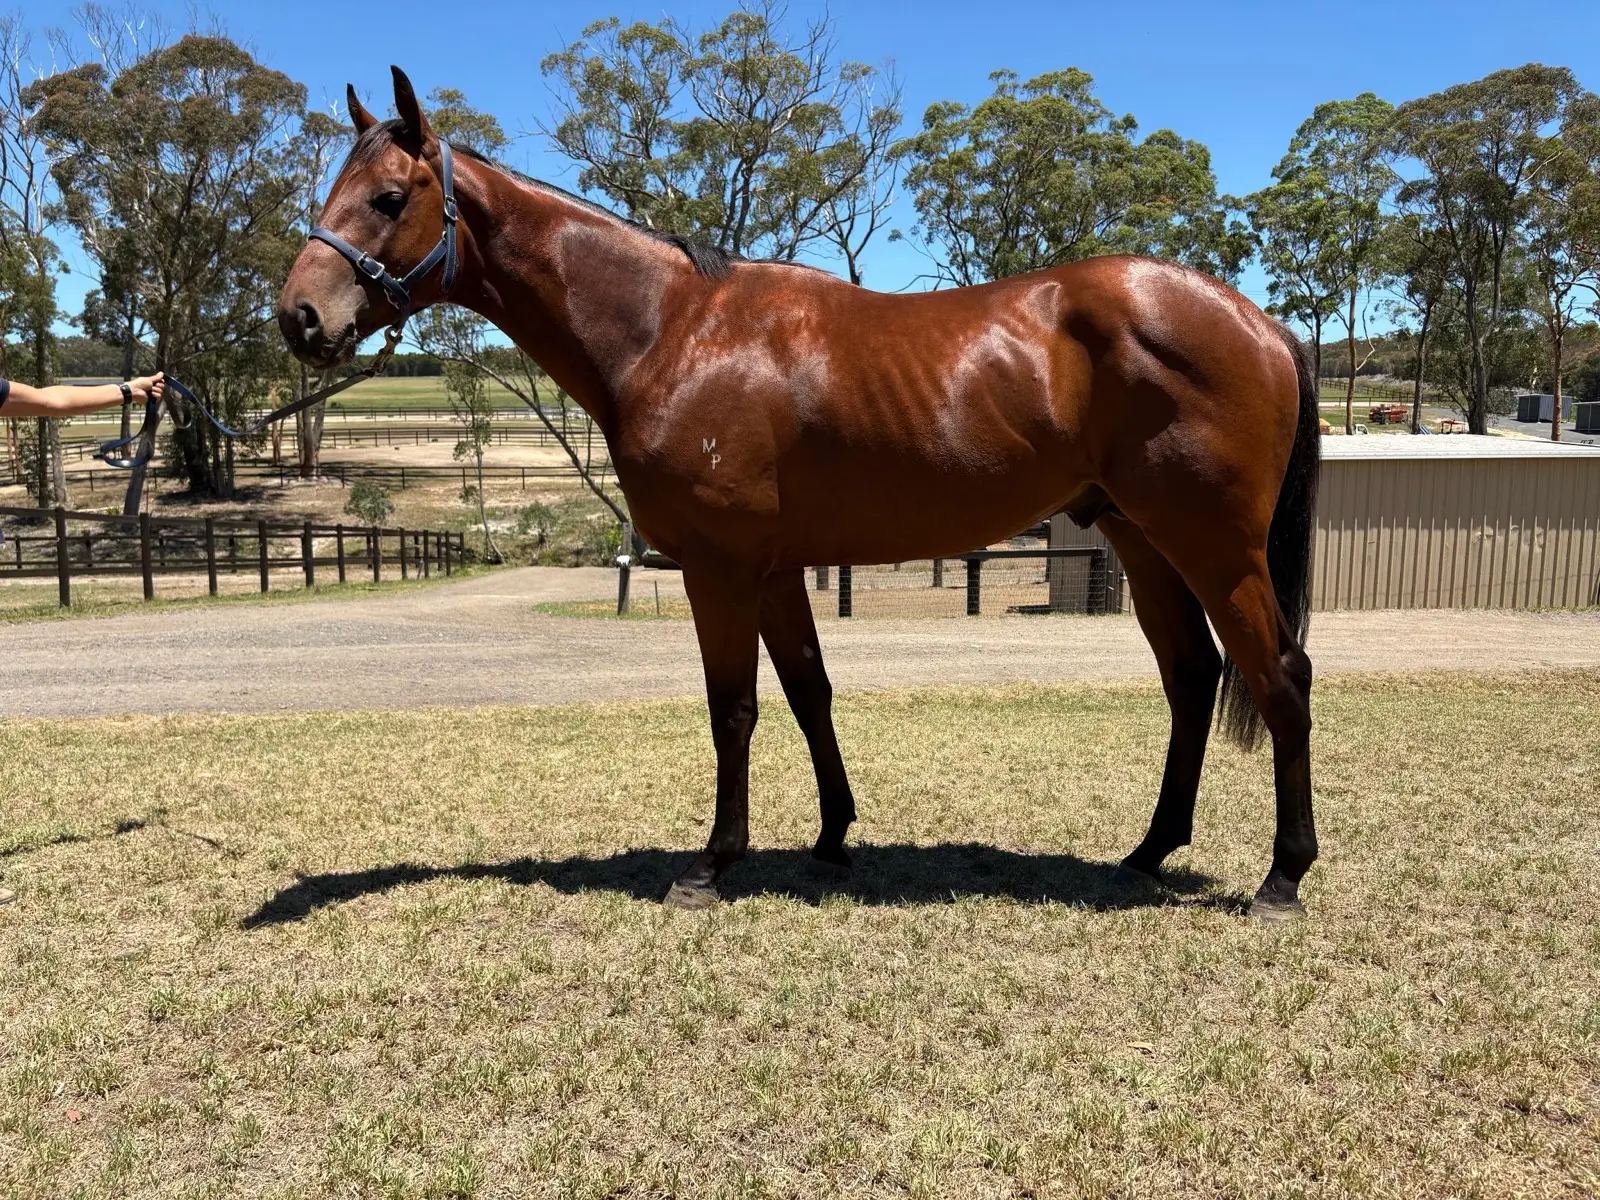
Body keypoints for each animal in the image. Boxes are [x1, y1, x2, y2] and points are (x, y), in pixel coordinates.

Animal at [278, 68, 1322, 922]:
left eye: (386, 197)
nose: (299, 318)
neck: (672, 331)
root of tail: (1263, 323)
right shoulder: (778, 572)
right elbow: (811, 692)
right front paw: (831, 838)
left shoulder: (720, 569)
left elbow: (732, 709)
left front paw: (711, 865)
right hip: (1143, 542)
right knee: (1191, 679)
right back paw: (1147, 852)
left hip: (1216, 548)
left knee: (1280, 678)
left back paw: (1282, 878)